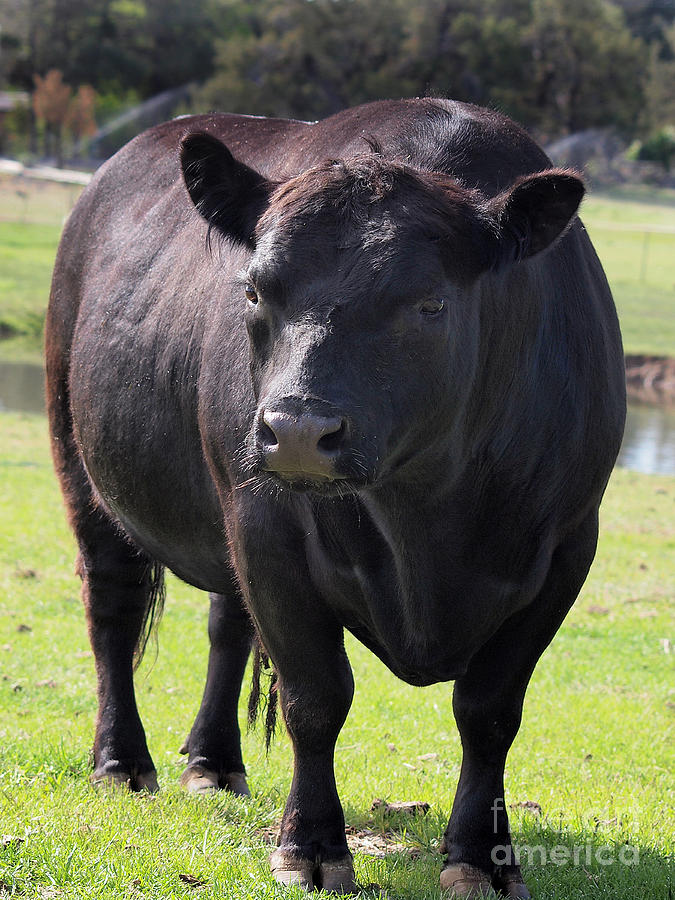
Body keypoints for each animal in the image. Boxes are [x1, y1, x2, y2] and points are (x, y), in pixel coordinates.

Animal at [47, 95, 624, 896]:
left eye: (429, 305)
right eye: (254, 288)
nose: (295, 431)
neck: (428, 520)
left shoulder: (566, 550)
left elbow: (489, 712)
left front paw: (482, 855)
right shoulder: (267, 531)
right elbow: (315, 696)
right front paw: (312, 845)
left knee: (226, 625)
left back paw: (213, 763)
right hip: (85, 468)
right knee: (113, 609)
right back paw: (123, 763)